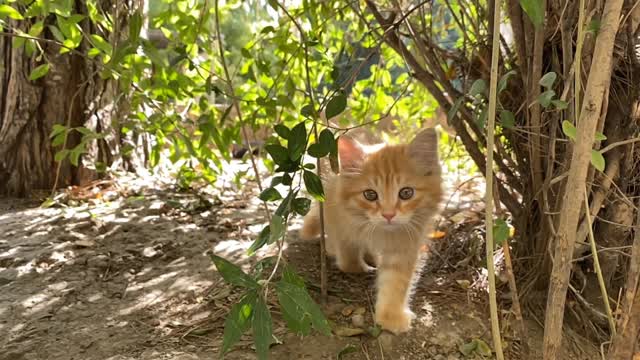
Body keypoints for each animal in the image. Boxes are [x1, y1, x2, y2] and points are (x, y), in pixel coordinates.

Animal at [298, 128, 442, 334]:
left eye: (406, 193)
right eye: (370, 195)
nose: (388, 215)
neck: (379, 231)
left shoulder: (404, 242)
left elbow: (395, 281)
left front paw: (391, 315)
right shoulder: (338, 215)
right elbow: (348, 253)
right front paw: (357, 266)